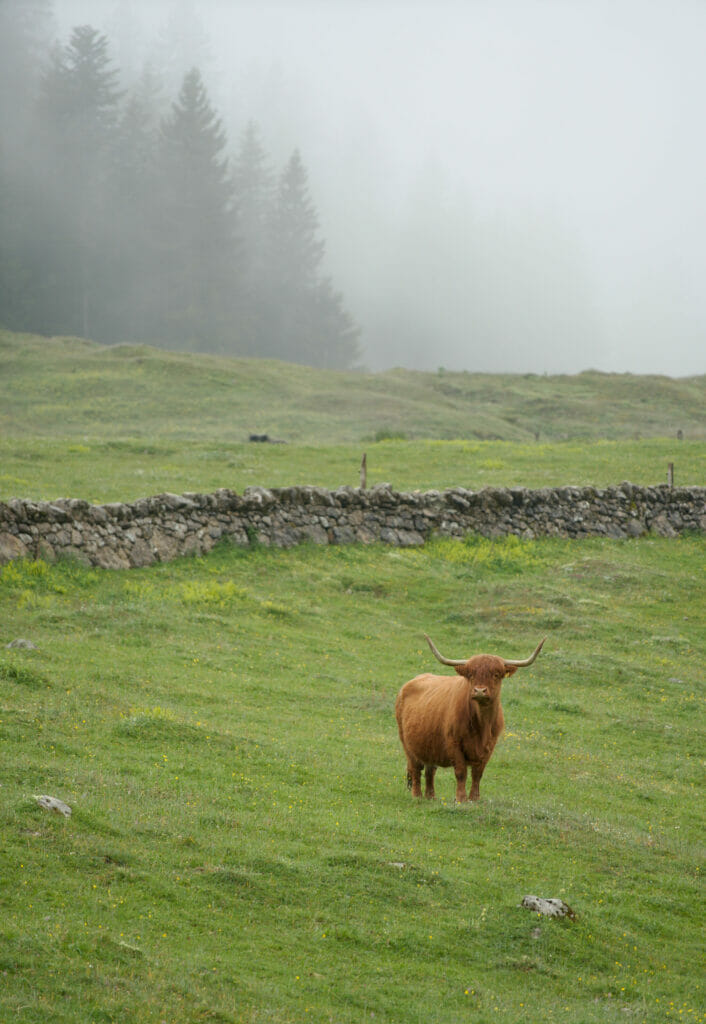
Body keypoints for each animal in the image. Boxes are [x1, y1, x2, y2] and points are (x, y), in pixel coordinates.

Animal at [397, 634, 545, 802]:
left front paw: (474, 798)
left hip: (429, 746)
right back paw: (417, 796)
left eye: (496, 674)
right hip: (407, 744)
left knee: (430, 771)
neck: (482, 724)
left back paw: (431, 797)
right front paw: (461, 799)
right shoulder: (454, 743)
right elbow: (461, 772)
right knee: (415, 769)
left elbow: (477, 774)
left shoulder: (489, 746)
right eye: (471, 674)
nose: (480, 691)